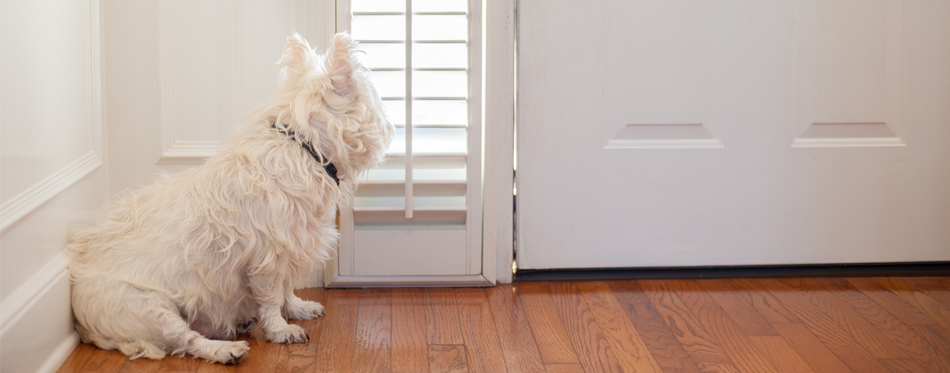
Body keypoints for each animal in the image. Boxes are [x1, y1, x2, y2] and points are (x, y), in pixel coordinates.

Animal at [66, 33, 394, 364]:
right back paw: (225, 349)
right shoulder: (269, 256)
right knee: (186, 339)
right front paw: (280, 329)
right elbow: (272, 296)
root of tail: (81, 319)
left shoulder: (291, 246)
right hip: (149, 307)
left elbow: (287, 288)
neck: (303, 146)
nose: (390, 122)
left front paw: (298, 308)